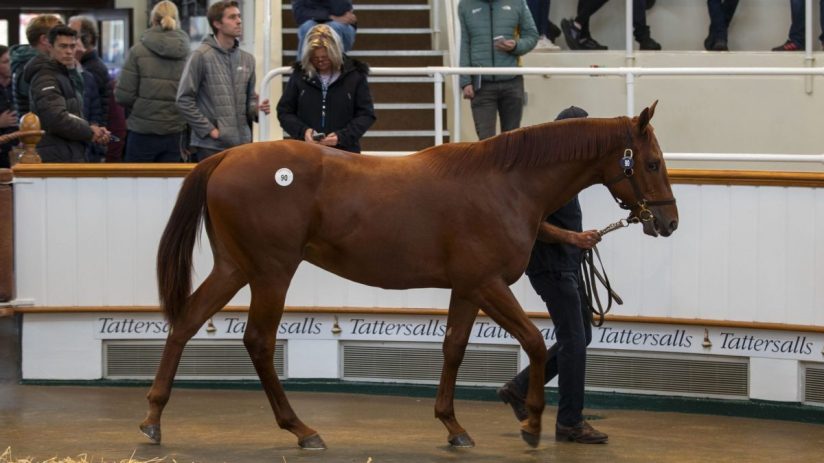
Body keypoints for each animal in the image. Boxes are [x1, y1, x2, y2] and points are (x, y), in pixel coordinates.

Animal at [140, 102, 678, 450]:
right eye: (652, 162)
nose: (668, 222)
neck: (505, 184)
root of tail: (225, 156)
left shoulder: (467, 289)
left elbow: (453, 349)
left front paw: (453, 426)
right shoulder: (488, 284)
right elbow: (534, 342)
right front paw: (530, 425)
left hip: (234, 268)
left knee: (185, 323)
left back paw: (153, 418)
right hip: (272, 272)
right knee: (258, 342)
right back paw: (301, 429)